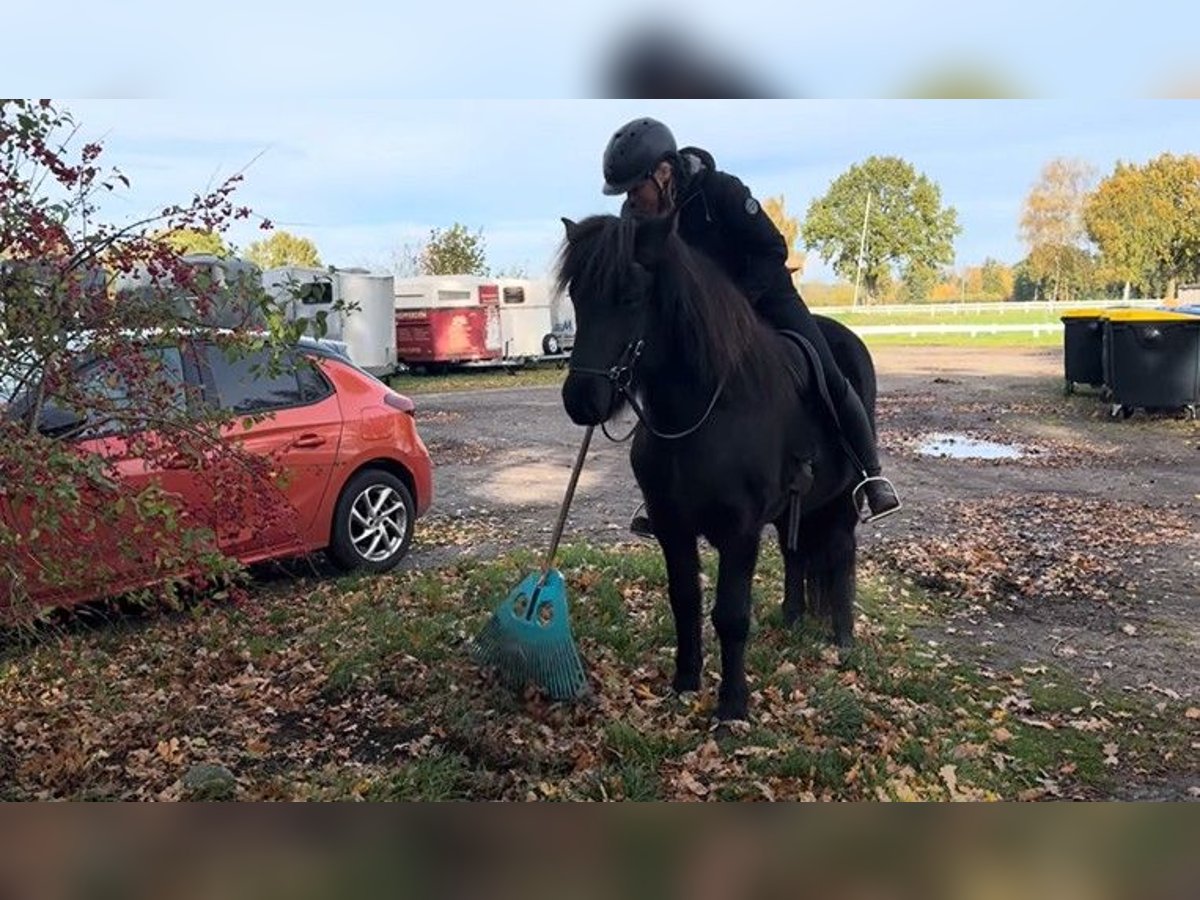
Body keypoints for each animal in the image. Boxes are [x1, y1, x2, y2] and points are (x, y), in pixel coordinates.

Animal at [556, 212, 878, 722]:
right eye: (576, 294)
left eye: (630, 293)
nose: (582, 400)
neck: (707, 411)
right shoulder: (672, 526)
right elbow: (684, 600)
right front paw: (685, 684)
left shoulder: (739, 531)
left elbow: (731, 615)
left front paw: (732, 706)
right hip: (795, 510)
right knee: (795, 555)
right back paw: (791, 618)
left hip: (842, 505)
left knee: (842, 555)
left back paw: (842, 637)